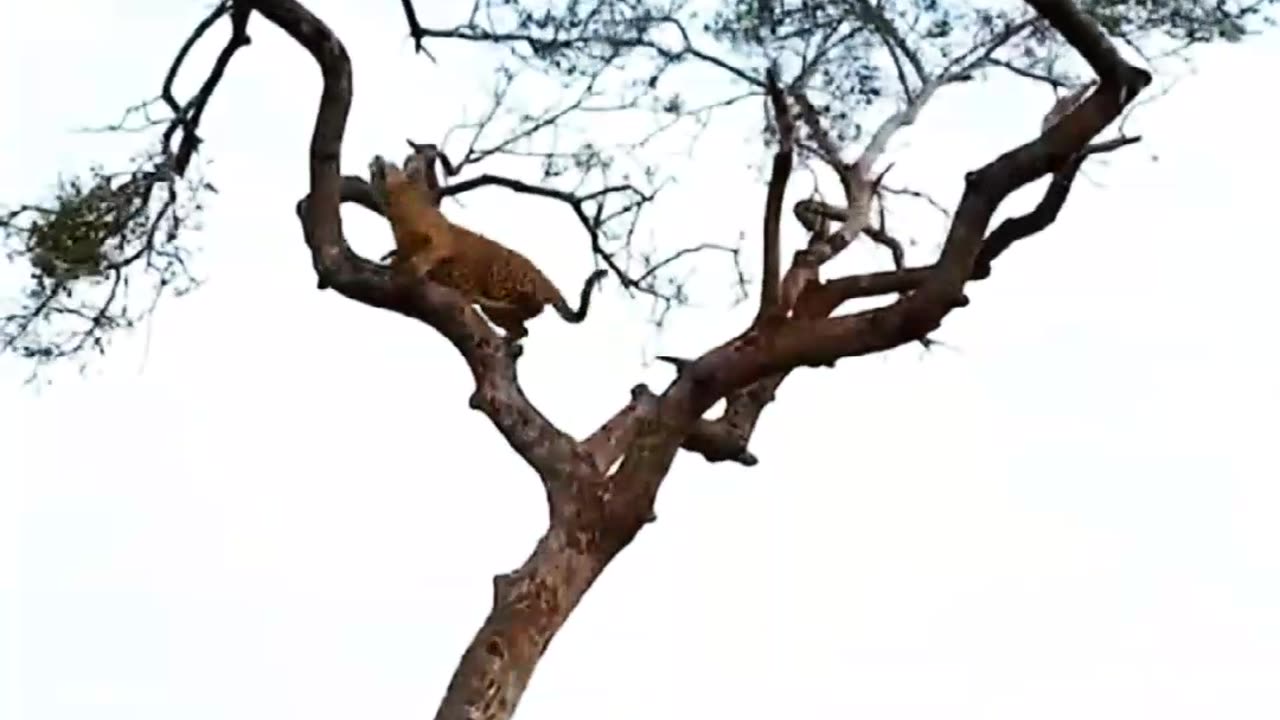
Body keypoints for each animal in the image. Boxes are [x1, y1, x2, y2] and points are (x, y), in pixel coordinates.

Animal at [368, 153, 606, 340]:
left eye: (391, 163)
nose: (376, 157)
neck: (399, 213)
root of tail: (548, 283)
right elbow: (401, 255)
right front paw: (393, 261)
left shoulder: (442, 241)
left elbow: (427, 254)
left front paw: (412, 267)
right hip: (499, 310)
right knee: (522, 329)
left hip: (501, 276)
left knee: (530, 310)